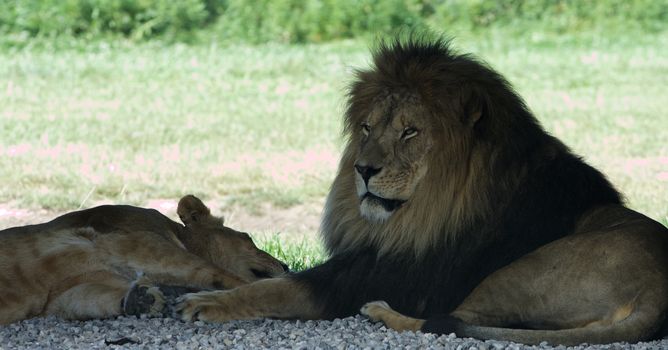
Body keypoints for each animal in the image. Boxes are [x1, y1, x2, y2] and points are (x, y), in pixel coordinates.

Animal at [0, 196, 284, 324]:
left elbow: (93, 299)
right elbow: (216, 273)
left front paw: (140, 299)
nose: (285, 265)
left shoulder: (66, 291)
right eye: (248, 237)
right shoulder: (140, 243)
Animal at [177, 37, 668, 346]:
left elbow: (276, 290)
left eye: (409, 132)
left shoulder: (386, 275)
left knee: (451, 322)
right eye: (367, 128)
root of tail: (656, 293)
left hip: (518, 272)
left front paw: (207, 302)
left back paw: (380, 312)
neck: (415, 214)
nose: (362, 169)